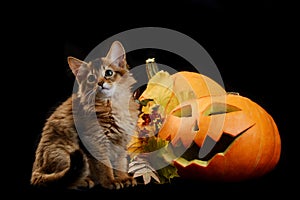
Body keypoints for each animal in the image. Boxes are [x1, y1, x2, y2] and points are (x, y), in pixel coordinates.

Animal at [29, 41, 140, 191]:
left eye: (109, 73)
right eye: (91, 78)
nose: (100, 83)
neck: (112, 105)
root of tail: (36, 169)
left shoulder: (122, 141)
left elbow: (120, 164)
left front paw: (123, 178)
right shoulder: (95, 140)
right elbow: (104, 165)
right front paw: (111, 181)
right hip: (63, 151)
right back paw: (85, 181)